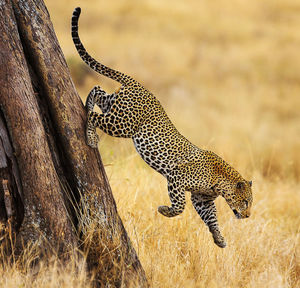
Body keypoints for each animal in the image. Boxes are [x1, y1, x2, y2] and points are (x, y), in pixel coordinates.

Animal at [71, 7, 253, 249]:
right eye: (246, 201)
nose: (248, 215)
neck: (220, 182)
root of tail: (138, 84)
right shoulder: (177, 177)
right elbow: (180, 206)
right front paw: (164, 210)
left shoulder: (202, 199)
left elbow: (211, 217)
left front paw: (219, 238)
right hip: (122, 124)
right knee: (92, 115)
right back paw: (91, 135)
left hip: (116, 108)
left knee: (97, 90)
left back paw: (89, 107)